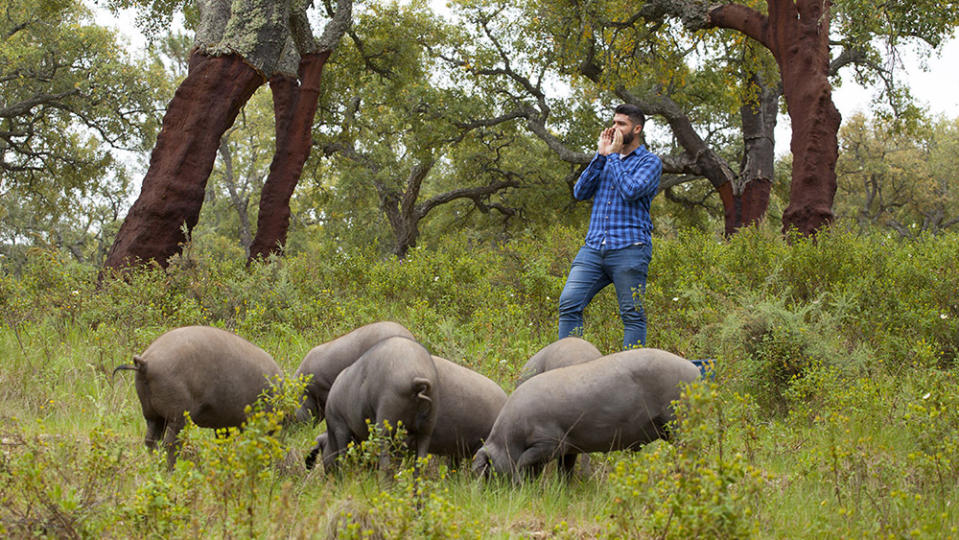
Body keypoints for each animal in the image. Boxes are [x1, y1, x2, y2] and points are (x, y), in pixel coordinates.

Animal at [113, 324, 282, 468]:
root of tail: (145, 363)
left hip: (152, 414)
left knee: (151, 440)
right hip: (177, 416)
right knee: (171, 444)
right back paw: (171, 470)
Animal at [472, 348, 696, 484]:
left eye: (488, 470)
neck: (510, 438)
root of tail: (695, 371)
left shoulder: (550, 442)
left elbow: (524, 461)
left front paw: (519, 481)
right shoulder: (569, 447)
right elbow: (564, 469)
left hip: (678, 420)